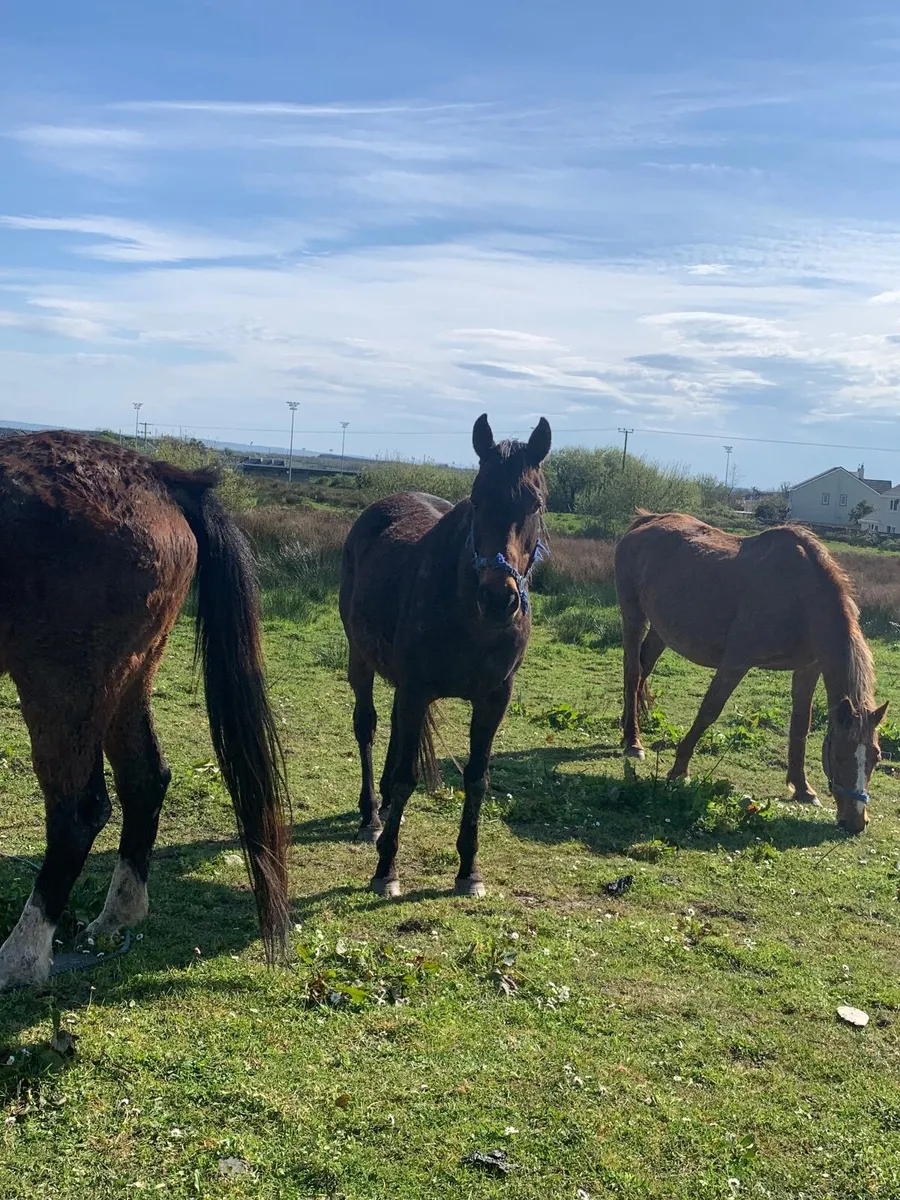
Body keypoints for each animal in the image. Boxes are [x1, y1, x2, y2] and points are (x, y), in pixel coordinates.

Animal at [0, 432, 290, 989]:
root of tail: (160, 477)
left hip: (62, 686)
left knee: (78, 812)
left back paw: (21, 958)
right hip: (130, 677)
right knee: (144, 780)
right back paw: (117, 915)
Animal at [339, 413, 552, 898]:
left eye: (535, 504)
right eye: (477, 498)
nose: (498, 599)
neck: (470, 619)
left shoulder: (493, 700)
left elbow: (476, 778)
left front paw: (469, 869)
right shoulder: (416, 690)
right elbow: (406, 776)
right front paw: (386, 870)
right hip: (361, 660)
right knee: (368, 727)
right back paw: (371, 815)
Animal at [615, 511, 888, 833]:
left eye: (876, 756)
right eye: (840, 753)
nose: (856, 822)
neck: (800, 597)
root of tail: (646, 520)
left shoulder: (808, 669)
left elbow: (801, 726)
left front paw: (803, 788)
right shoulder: (736, 662)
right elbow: (709, 712)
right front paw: (680, 770)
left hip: (661, 630)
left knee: (643, 670)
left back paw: (628, 727)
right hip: (633, 615)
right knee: (633, 673)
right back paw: (633, 741)